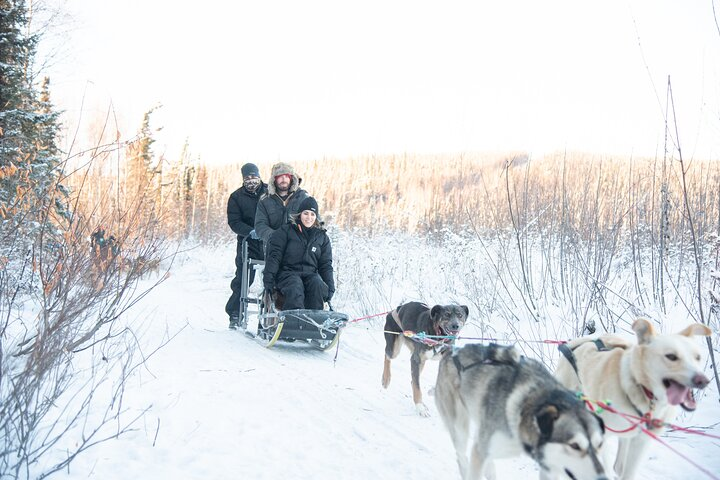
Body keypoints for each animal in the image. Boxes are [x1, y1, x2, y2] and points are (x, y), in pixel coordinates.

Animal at [556, 318, 712, 480]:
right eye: (671, 356)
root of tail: (579, 343)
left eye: (697, 357)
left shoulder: (640, 442)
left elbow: (628, 472)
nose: (703, 380)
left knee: (618, 465)